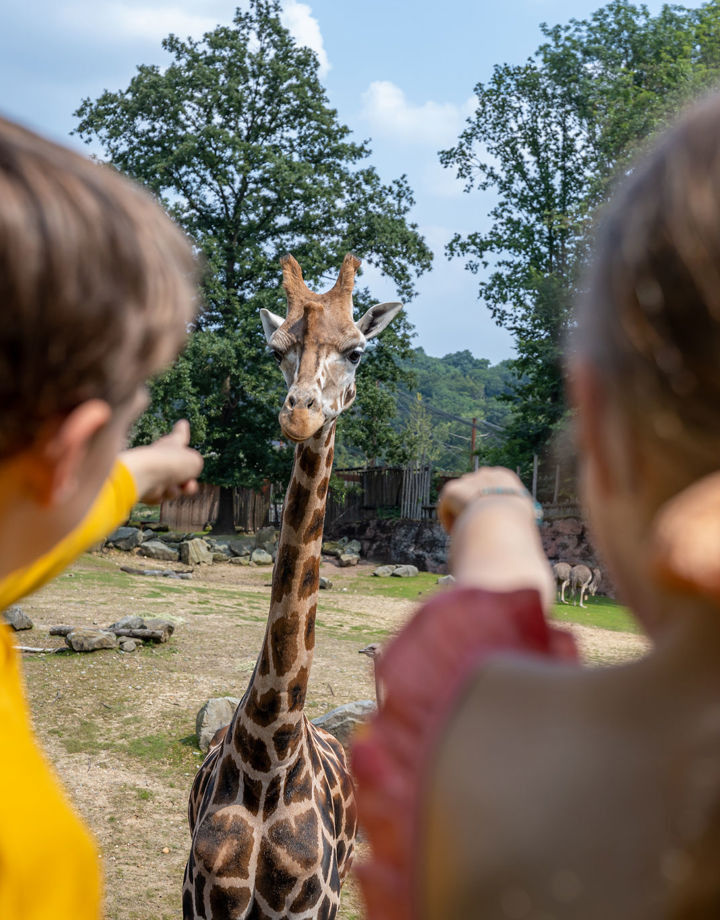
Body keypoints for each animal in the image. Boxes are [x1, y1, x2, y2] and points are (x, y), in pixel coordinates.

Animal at [183, 253, 402, 920]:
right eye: (274, 347)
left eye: (357, 351)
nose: (300, 412)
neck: (269, 756)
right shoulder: (203, 900)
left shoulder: (307, 905)